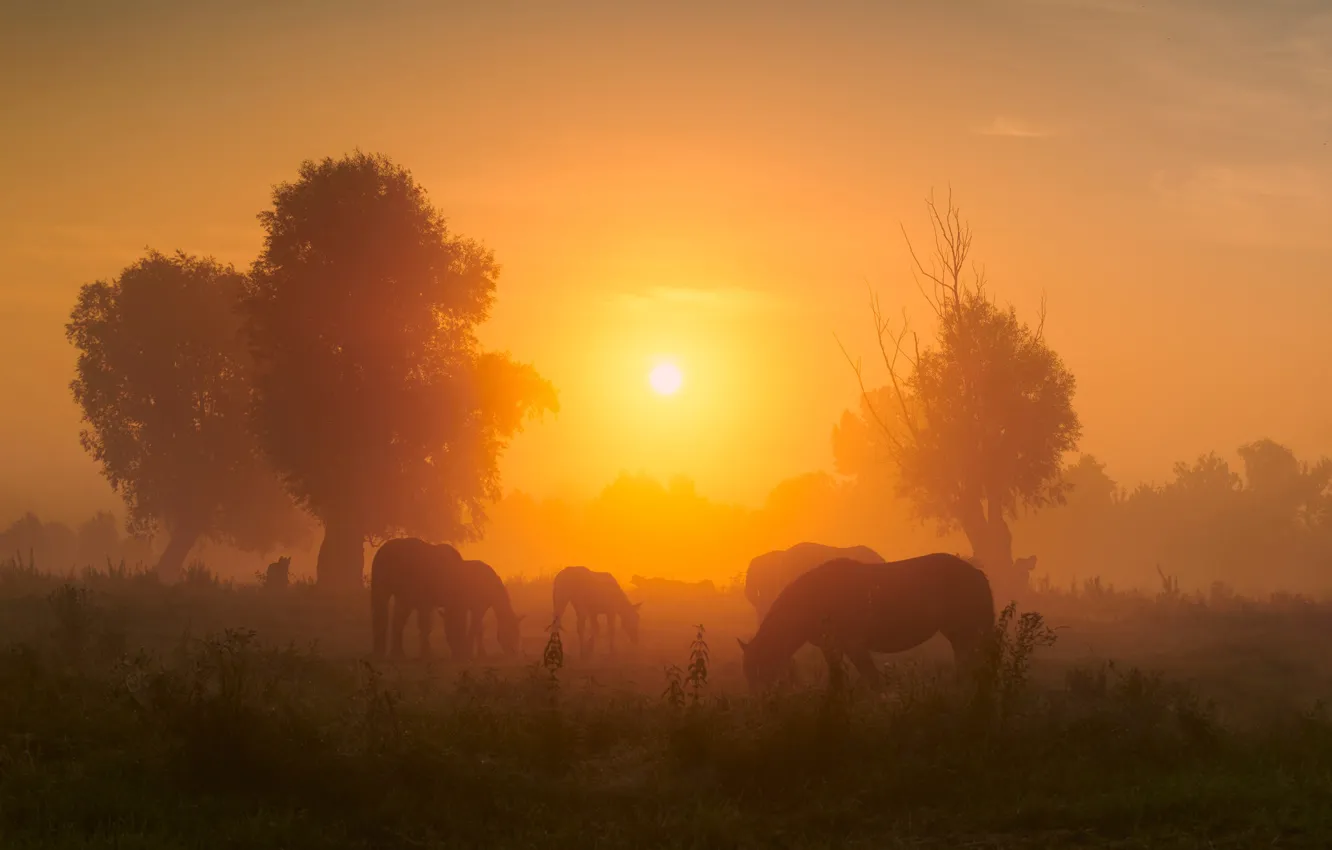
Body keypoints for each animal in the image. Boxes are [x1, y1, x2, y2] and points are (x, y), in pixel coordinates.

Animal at [737, 553, 995, 692]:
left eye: (760, 668)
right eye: (747, 672)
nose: (761, 703)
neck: (816, 599)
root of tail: (978, 574)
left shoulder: (855, 645)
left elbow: (872, 679)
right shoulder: (833, 648)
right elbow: (838, 680)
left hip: (966, 630)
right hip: (958, 633)